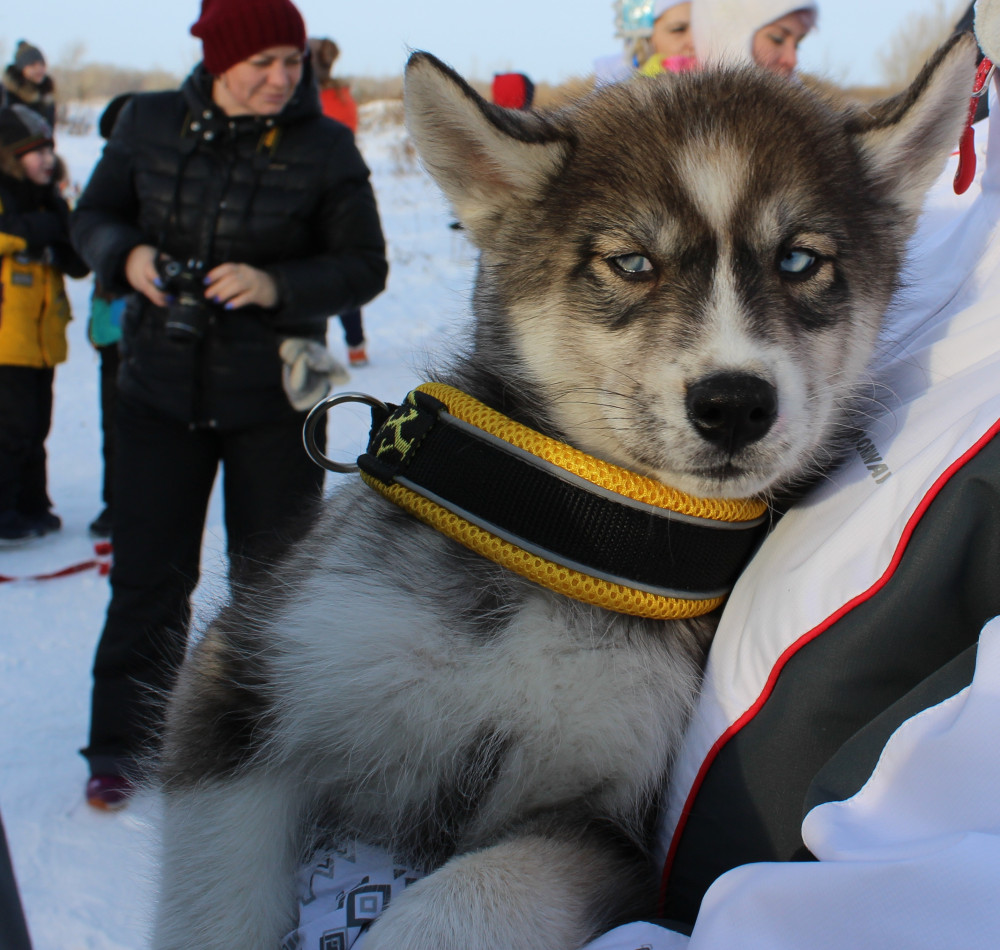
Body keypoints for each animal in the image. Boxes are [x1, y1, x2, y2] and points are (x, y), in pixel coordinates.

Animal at [154, 33, 976, 950]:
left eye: (799, 259)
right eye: (631, 262)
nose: (735, 402)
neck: (571, 535)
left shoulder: (604, 827)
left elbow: (468, 896)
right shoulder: (245, 677)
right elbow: (219, 903)